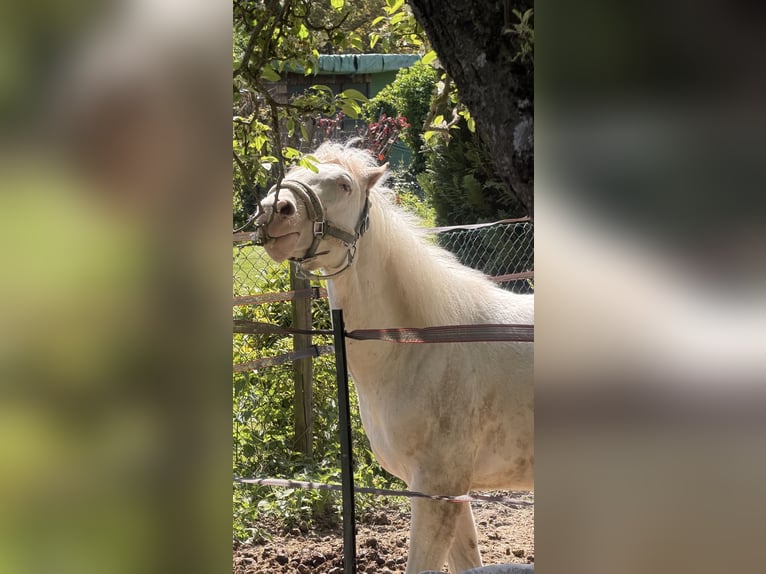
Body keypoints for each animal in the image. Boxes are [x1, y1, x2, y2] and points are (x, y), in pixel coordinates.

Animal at [255, 141, 534, 574]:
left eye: (344, 184)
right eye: (291, 172)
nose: (275, 210)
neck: (421, 346)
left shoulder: (438, 488)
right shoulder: (452, 491)